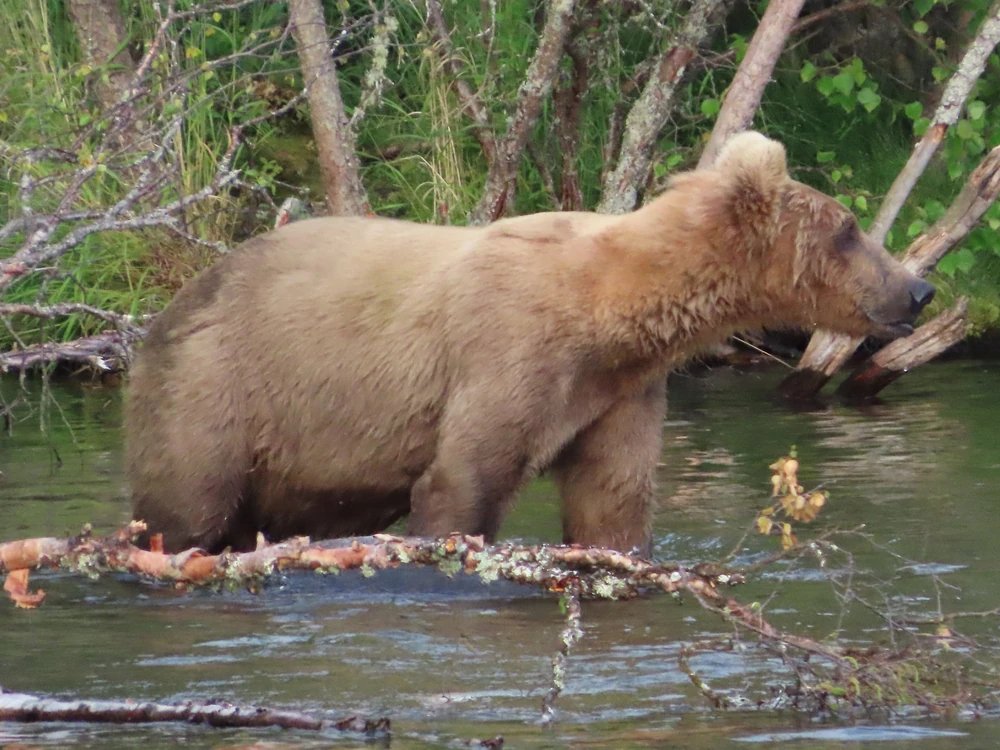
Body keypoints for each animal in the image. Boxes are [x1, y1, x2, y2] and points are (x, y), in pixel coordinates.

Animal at [126, 131, 934, 555]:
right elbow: (463, 482)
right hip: (215, 388)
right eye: (849, 228)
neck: (614, 314)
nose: (919, 290)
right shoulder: (510, 352)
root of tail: (165, 310)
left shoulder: (619, 392)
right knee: (187, 508)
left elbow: (612, 499)